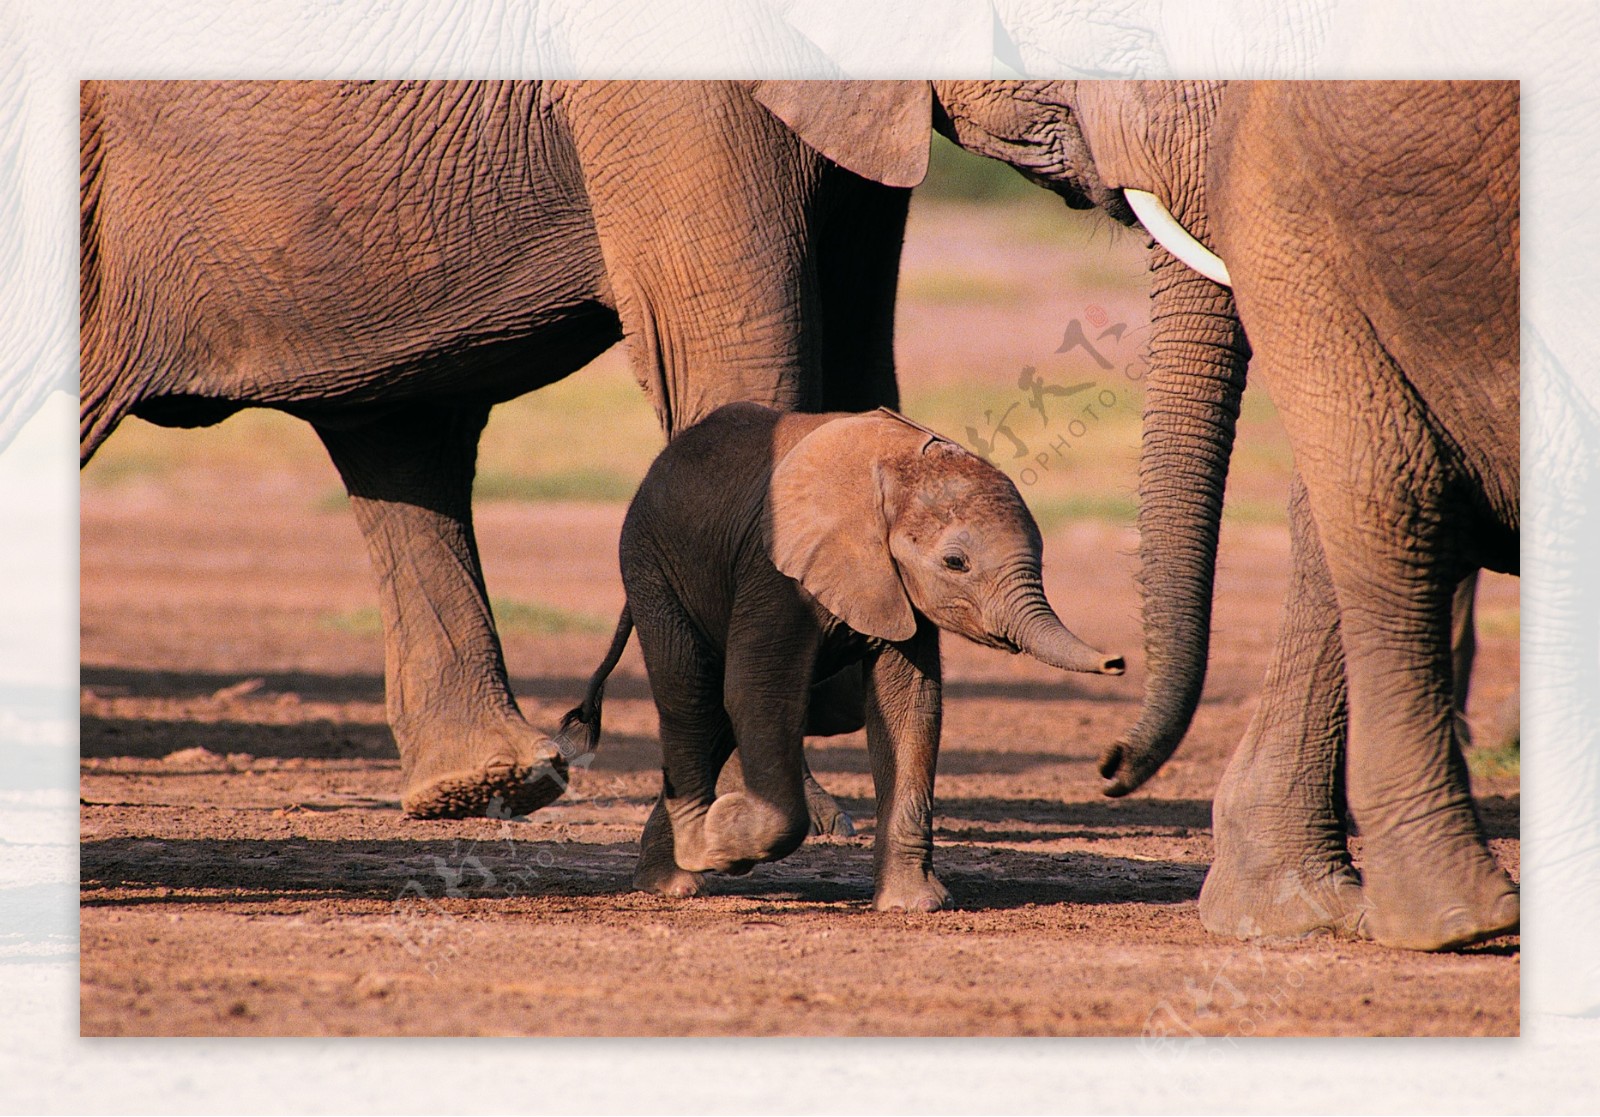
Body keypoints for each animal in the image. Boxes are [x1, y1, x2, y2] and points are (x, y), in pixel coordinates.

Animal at [566, 404, 1126, 908]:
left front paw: (915, 905)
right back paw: (686, 870)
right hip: (652, 566)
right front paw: (725, 841)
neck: (896, 469)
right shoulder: (774, 569)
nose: (1117, 663)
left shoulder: (895, 586)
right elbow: (758, 692)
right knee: (693, 696)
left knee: (716, 715)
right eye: (955, 562)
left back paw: (670, 872)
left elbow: (910, 708)